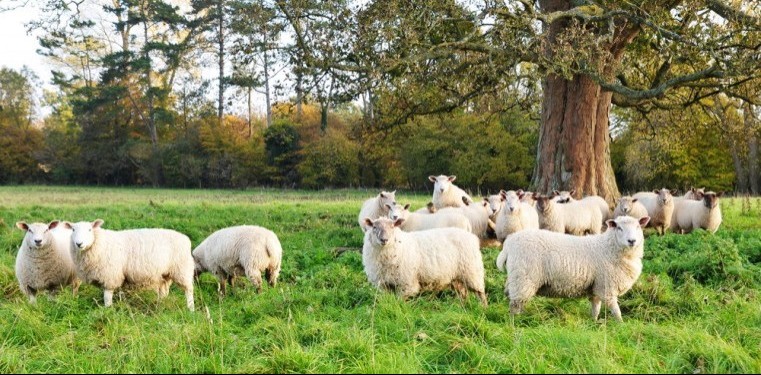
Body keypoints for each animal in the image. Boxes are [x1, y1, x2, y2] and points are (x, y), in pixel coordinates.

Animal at [64, 220, 196, 312]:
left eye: (89, 229)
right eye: (73, 230)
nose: (79, 243)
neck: (100, 243)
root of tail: (186, 238)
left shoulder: (110, 276)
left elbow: (107, 297)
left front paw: (108, 311)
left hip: (182, 269)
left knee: (188, 290)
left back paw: (191, 309)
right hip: (165, 274)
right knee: (164, 291)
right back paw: (160, 306)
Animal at [496, 216, 652, 322]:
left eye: (638, 227)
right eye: (619, 228)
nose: (632, 241)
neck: (608, 247)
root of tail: (509, 243)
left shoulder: (596, 286)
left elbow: (596, 308)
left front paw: (593, 322)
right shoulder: (607, 286)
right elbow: (615, 310)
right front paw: (621, 324)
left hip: (515, 277)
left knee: (511, 297)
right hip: (524, 278)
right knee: (515, 305)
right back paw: (515, 323)